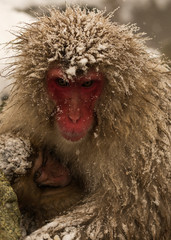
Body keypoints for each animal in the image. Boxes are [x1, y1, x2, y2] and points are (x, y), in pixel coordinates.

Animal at [0, 5, 170, 240]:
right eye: (62, 82)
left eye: (87, 84)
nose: (74, 117)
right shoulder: (25, 118)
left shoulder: (144, 147)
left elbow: (122, 218)